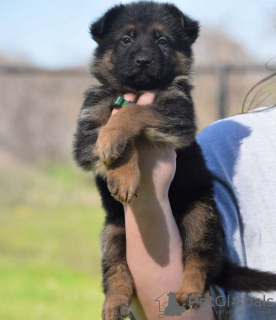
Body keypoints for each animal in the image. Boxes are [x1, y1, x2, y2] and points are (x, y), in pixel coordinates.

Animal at [74, 1, 276, 318]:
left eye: (162, 41)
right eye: (126, 39)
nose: (143, 61)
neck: (136, 89)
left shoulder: (176, 115)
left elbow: (135, 111)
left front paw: (114, 139)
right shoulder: (86, 133)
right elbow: (114, 129)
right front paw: (121, 169)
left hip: (201, 216)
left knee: (199, 259)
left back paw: (190, 288)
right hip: (113, 234)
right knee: (117, 272)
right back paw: (114, 302)